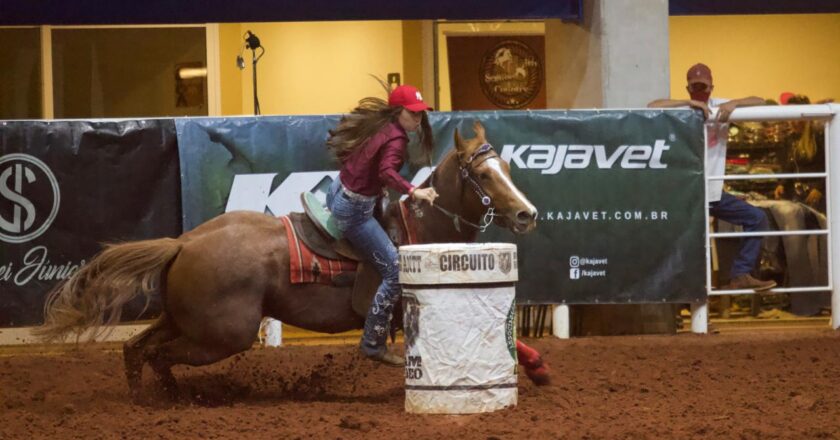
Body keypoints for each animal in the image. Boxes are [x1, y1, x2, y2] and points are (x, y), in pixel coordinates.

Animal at [37, 119, 552, 398]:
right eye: (483, 175)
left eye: (507, 167)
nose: (527, 213)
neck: (422, 228)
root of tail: (184, 242)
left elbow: (509, 335)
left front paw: (539, 368)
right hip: (223, 333)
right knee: (156, 355)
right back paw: (174, 402)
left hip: (184, 320)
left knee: (135, 349)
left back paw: (152, 401)